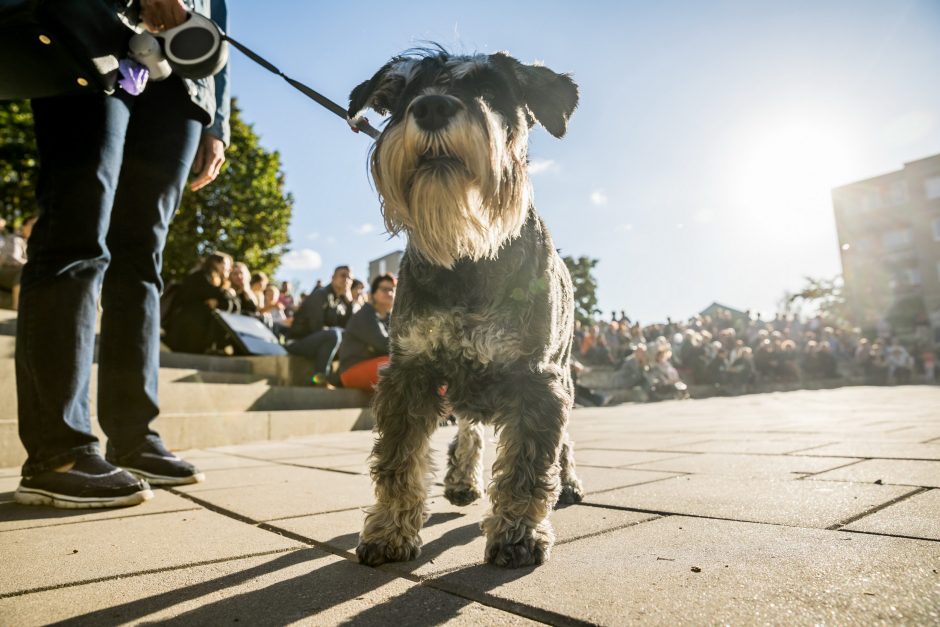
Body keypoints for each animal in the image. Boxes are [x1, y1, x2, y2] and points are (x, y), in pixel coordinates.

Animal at [346, 49, 580, 568]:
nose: (432, 107)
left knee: (563, 439)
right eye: (407, 92)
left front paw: (518, 535)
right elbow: (399, 461)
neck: (469, 255)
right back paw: (460, 480)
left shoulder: (537, 379)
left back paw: (571, 482)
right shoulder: (410, 371)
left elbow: (528, 466)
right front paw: (389, 530)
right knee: (470, 426)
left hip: (563, 371)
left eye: (491, 90)